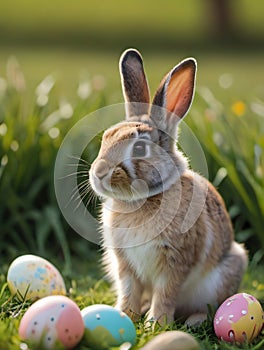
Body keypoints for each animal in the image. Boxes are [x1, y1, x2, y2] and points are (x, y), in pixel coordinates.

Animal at [89, 48, 249, 326]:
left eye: (139, 148)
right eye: (106, 138)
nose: (98, 173)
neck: (140, 200)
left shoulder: (175, 262)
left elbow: (166, 293)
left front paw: (156, 323)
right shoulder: (125, 264)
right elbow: (129, 290)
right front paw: (125, 315)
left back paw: (194, 320)